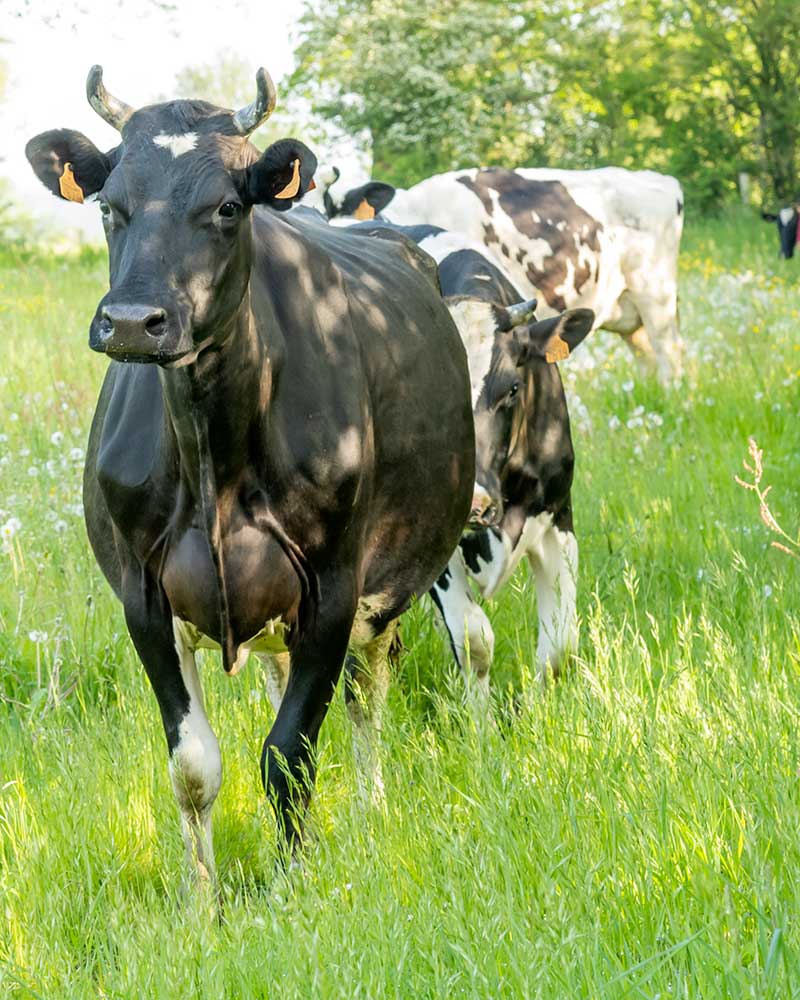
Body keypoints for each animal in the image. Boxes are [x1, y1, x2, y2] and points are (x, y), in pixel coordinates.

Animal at [25, 67, 475, 882]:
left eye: (228, 207)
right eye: (108, 205)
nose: (134, 321)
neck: (212, 458)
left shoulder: (332, 585)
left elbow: (288, 752)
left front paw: (295, 880)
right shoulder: (142, 593)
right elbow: (194, 767)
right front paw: (201, 899)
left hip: (386, 584)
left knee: (369, 689)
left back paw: (372, 810)